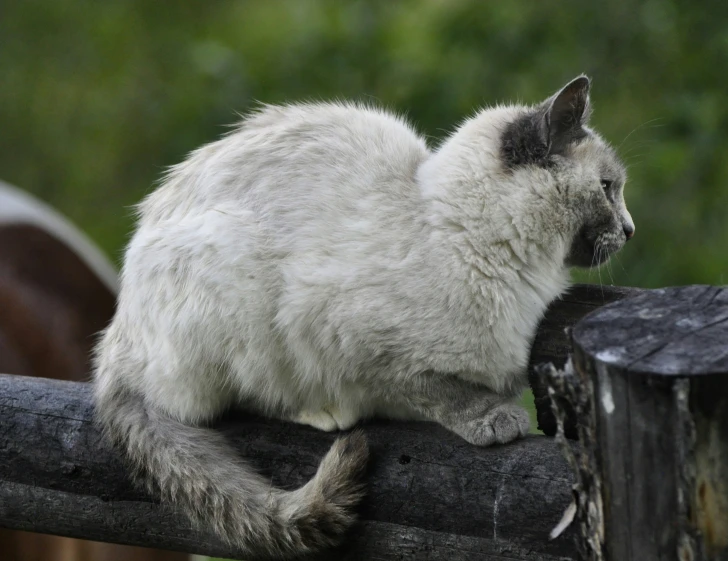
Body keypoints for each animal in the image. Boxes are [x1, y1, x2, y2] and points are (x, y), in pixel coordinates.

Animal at [95, 74, 632, 556]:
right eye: (608, 188)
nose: (629, 229)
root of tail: (115, 340)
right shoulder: (351, 342)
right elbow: (431, 388)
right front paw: (492, 419)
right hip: (234, 277)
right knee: (226, 400)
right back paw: (320, 414)